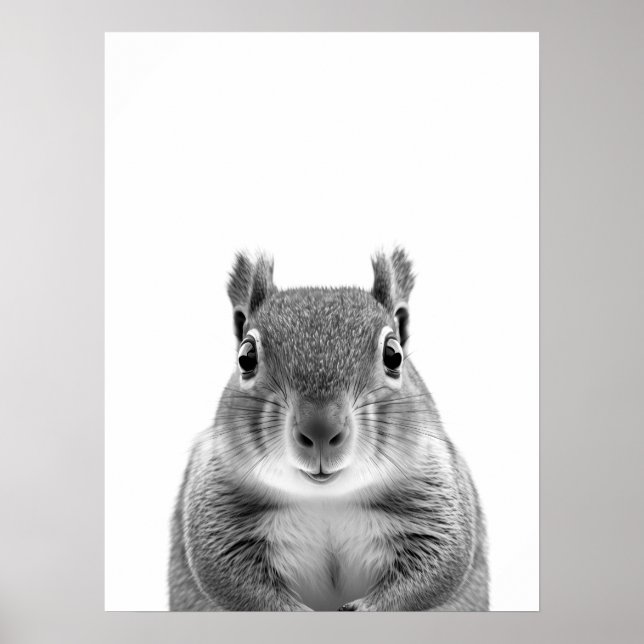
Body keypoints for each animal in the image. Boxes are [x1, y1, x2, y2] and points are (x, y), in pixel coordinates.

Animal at [168, 249, 489, 611]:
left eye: (393, 354)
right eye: (246, 357)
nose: (320, 429)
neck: (326, 498)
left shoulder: (435, 489)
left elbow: (440, 565)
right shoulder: (217, 501)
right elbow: (224, 571)